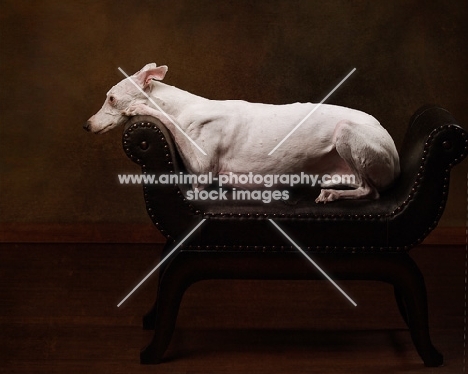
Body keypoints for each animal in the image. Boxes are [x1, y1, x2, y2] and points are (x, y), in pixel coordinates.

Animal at [85, 62, 398, 202]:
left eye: (111, 98)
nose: (86, 125)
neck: (184, 107)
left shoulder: (202, 170)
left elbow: (169, 123)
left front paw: (138, 107)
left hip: (346, 131)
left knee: (372, 192)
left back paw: (333, 194)